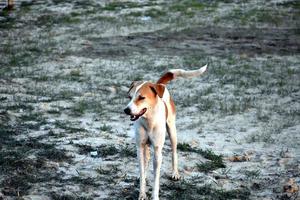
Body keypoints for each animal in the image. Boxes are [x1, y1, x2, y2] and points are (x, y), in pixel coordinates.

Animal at [123, 65, 206, 199]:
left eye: (141, 97)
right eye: (129, 97)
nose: (126, 110)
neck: (149, 121)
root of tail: (158, 84)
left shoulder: (157, 151)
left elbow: (156, 178)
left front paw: (155, 196)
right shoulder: (140, 147)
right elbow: (142, 170)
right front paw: (142, 193)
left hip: (172, 131)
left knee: (174, 152)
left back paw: (175, 173)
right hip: (146, 147)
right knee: (146, 162)